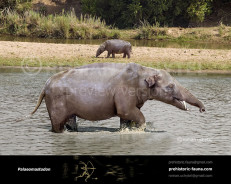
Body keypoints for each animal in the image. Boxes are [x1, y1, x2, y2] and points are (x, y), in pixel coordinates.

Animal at [29, 62, 205, 132]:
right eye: (170, 86)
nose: (203, 109)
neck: (145, 71)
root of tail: (46, 85)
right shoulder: (124, 93)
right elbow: (126, 111)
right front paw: (140, 128)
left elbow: (126, 116)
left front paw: (128, 129)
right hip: (56, 102)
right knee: (58, 124)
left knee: (71, 121)